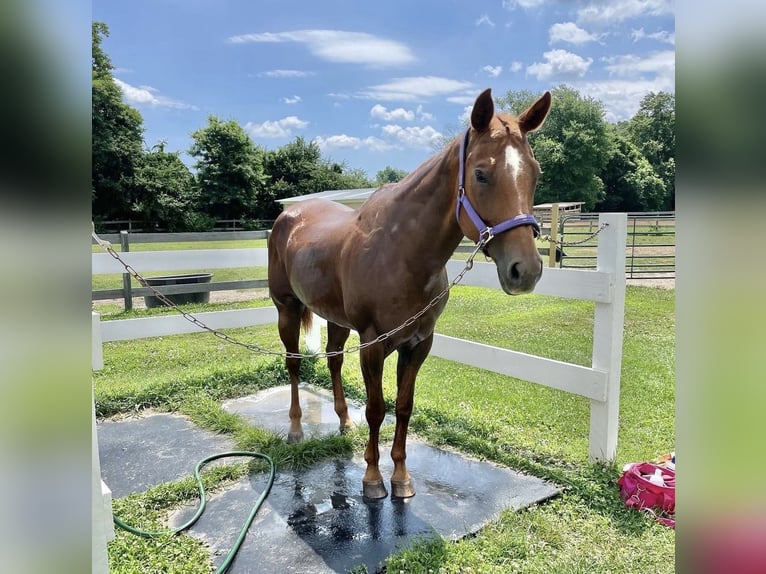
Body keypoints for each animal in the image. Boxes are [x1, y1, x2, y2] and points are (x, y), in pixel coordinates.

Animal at [268, 88, 551, 500]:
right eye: (481, 173)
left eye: (535, 172)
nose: (525, 270)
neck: (400, 251)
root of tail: (289, 214)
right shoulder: (372, 344)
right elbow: (376, 408)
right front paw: (372, 479)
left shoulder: (418, 343)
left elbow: (403, 406)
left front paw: (401, 477)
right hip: (287, 309)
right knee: (293, 363)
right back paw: (295, 429)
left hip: (336, 319)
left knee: (333, 360)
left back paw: (343, 422)